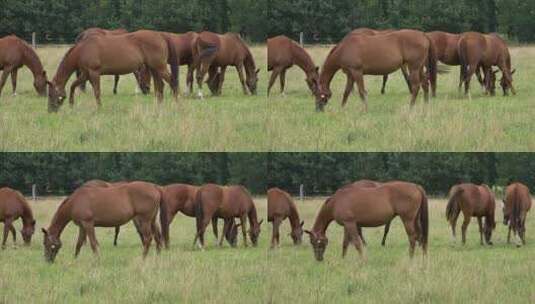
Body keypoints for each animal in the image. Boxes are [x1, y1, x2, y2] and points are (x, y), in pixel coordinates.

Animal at [47, 30, 179, 113]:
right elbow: (73, 86)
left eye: (50, 94)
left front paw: (99, 108)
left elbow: (97, 92)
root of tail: (160, 35)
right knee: (160, 86)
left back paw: (176, 103)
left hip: (160, 67)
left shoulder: (94, 73)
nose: (50, 110)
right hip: (154, 68)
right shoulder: (86, 74)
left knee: (172, 82)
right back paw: (159, 105)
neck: (83, 49)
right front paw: (71, 104)